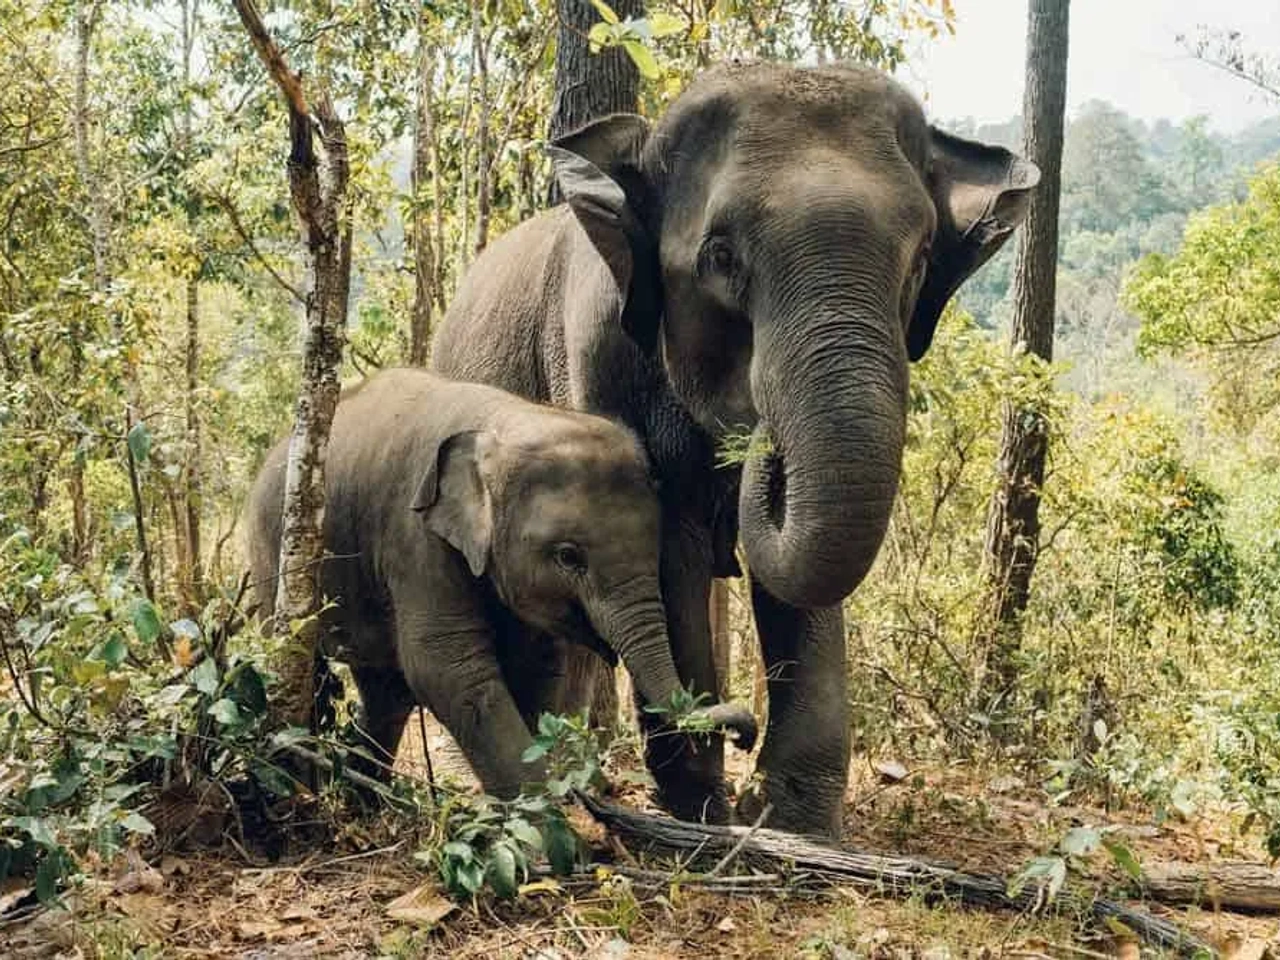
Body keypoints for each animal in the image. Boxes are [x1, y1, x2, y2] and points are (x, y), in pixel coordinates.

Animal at [244, 368, 757, 800]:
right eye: (568, 556)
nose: (744, 733)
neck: (504, 420)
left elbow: (537, 667)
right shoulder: (415, 537)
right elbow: (448, 668)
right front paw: (552, 829)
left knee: (385, 690)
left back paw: (366, 800)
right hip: (274, 554)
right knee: (303, 662)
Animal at [430, 60, 1038, 836]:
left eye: (921, 259)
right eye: (720, 257)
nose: (760, 440)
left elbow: (798, 577)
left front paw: (793, 822)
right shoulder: (597, 356)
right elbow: (669, 548)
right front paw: (703, 809)